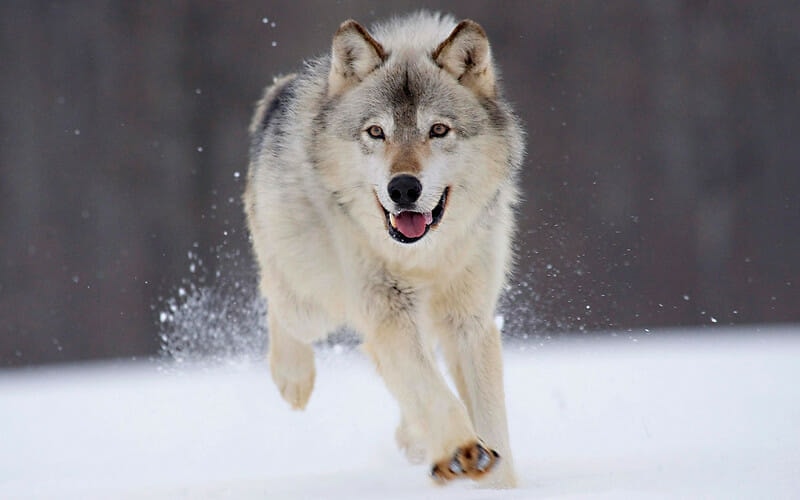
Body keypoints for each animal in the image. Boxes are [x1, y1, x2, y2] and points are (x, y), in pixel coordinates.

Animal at [243, 11, 523, 488]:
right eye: (376, 132)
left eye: (438, 130)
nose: (404, 188)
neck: (423, 257)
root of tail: (281, 91)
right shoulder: (388, 311)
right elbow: (433, 391)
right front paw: (461, 450)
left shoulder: (469, 321)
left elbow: (489, 418)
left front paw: (496, 481)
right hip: (314, 302)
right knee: (277, 300)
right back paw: (293, 378)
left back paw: (415, 440)